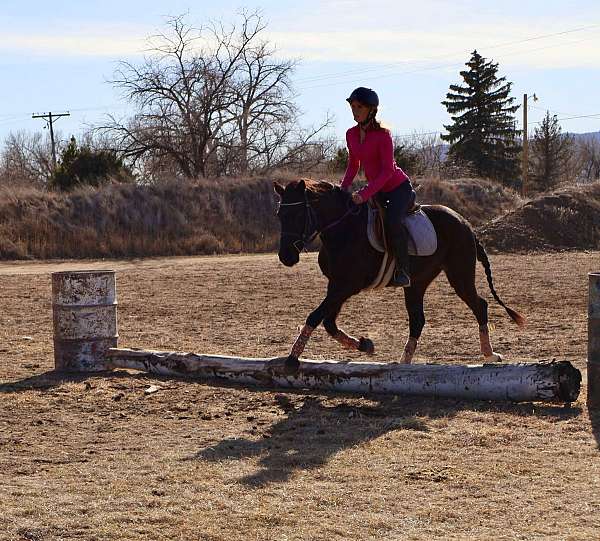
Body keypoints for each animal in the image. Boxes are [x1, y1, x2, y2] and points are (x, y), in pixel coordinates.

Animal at [272, 179, 524, 374]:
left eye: (298, 214)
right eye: (280, 214)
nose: (286, 256)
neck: (343, 229)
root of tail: (465, 223)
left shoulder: (346, 286)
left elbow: (316, 317)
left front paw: (292, 360)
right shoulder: (337, 285)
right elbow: (329, 322)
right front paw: (365, 345)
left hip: (459, 274)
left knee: (480, 305)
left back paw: (490, 354)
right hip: (417, 282)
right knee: (417, 320)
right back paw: (404, 362)